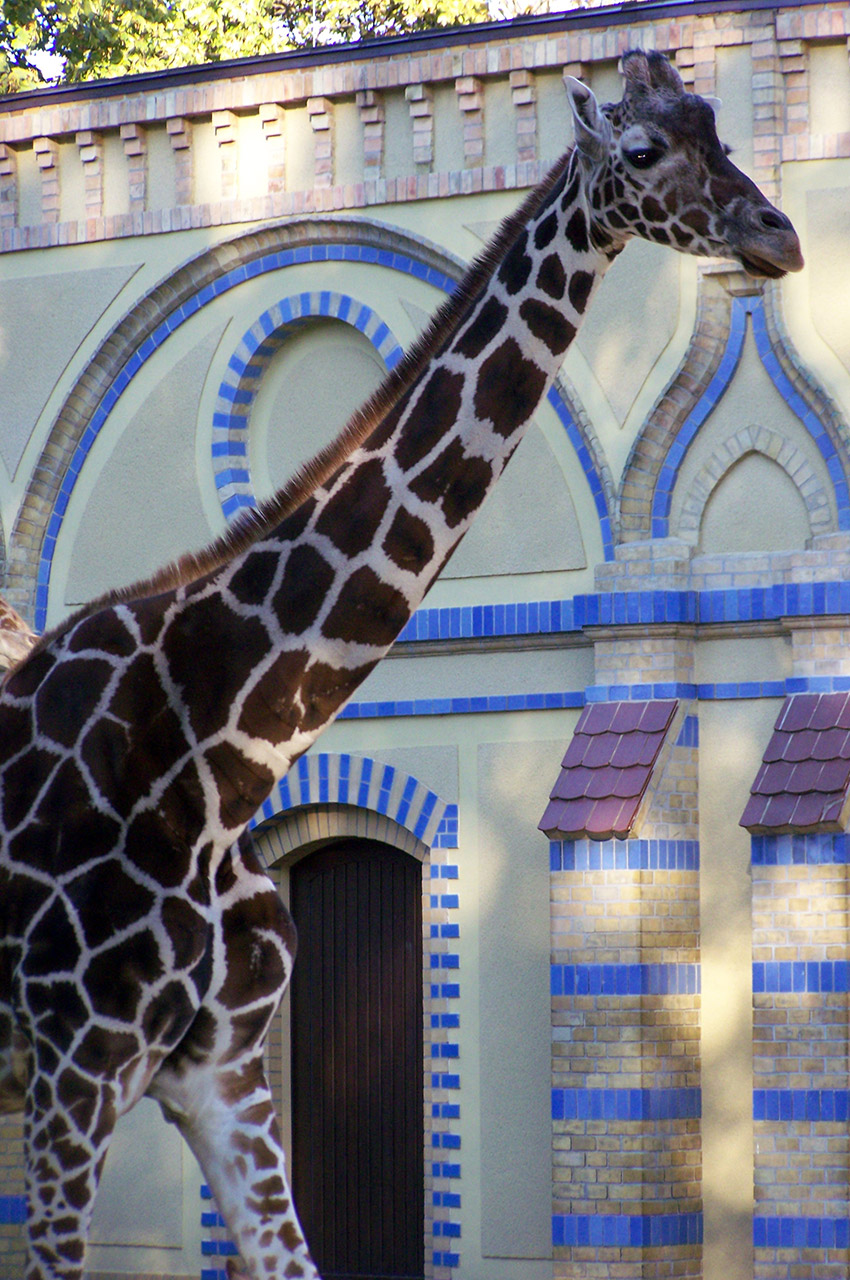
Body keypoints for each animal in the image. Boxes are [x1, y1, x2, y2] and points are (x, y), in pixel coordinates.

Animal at [0, 47, 798, 1280]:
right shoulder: (78, 1062)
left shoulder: (219, 1067)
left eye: (715, 126)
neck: (223, 743)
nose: (778, 234)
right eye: (643, 148)